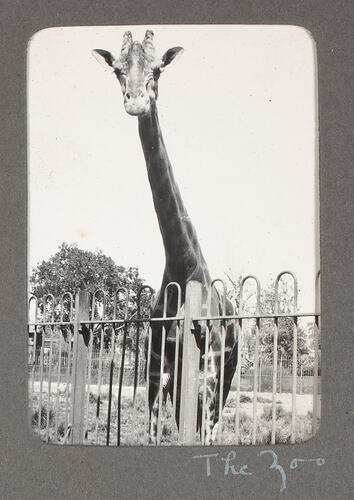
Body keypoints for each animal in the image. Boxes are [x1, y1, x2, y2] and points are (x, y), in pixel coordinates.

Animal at [93, 30, 238, 446]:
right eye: (117, 69)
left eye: (157, 69)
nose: (137, 101)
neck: (182, 266)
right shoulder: (157, 371)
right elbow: (156, 434)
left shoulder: (208, 372)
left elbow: (200, 433)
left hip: (227, 375)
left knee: (212, 427)